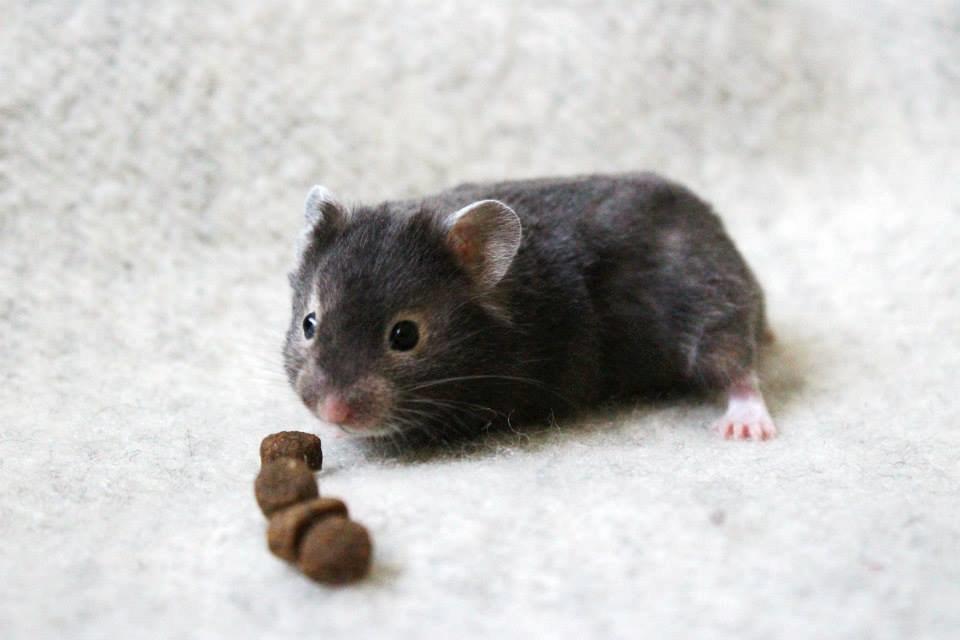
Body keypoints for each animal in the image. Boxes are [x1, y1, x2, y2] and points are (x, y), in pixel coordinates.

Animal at [283, 172, 777, 442]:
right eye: (309, 323)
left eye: (404, 336)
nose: (331, 412)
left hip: (711, 298)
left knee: (736, 364)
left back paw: (747, 427)